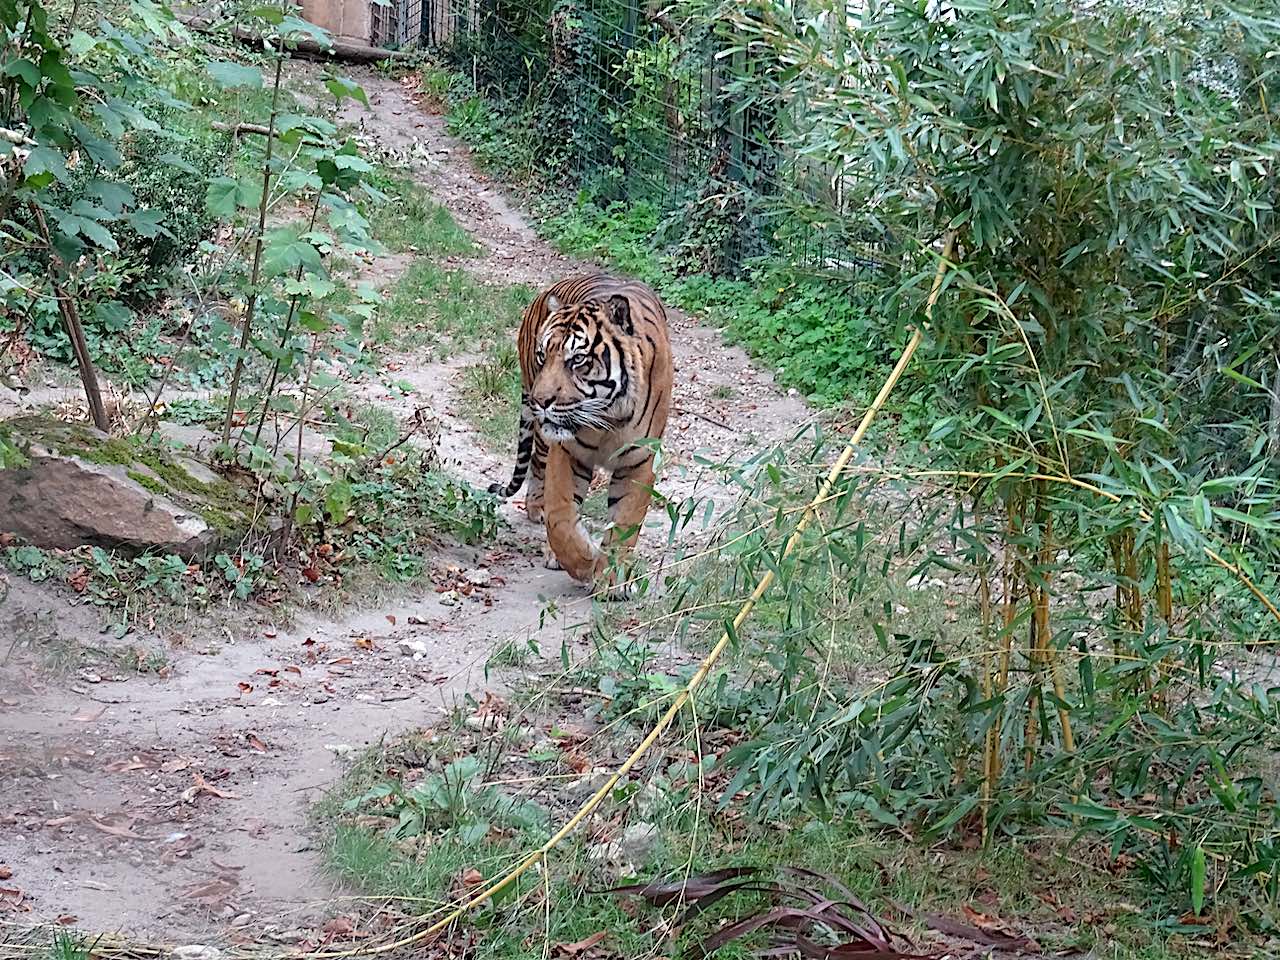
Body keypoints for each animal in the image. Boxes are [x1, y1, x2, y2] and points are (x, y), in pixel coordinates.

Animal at [483, 271, 675, 599]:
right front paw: (584, 561)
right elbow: (561, 519)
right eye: (542, 355)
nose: (541, 401)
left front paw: (610, 579)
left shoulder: (639, 462)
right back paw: (537, 511)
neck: (609, 417)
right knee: (537, 467)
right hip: (542, 433)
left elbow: (624, 523)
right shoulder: (568, 451)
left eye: (577, 360)